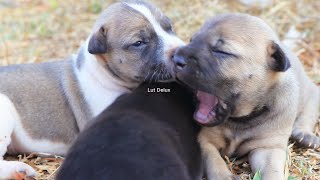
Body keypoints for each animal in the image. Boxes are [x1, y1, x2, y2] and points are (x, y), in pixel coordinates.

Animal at [172, 13, 320, 179]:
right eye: (191, 40)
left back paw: (305, 135)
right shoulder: (205, 141)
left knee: (309, 111)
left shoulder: (267, 148)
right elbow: (214, 161)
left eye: (222, 52)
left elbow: (272, 170)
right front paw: (224, 176)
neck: (241, 120)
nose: (176, 58)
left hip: (310, 93)